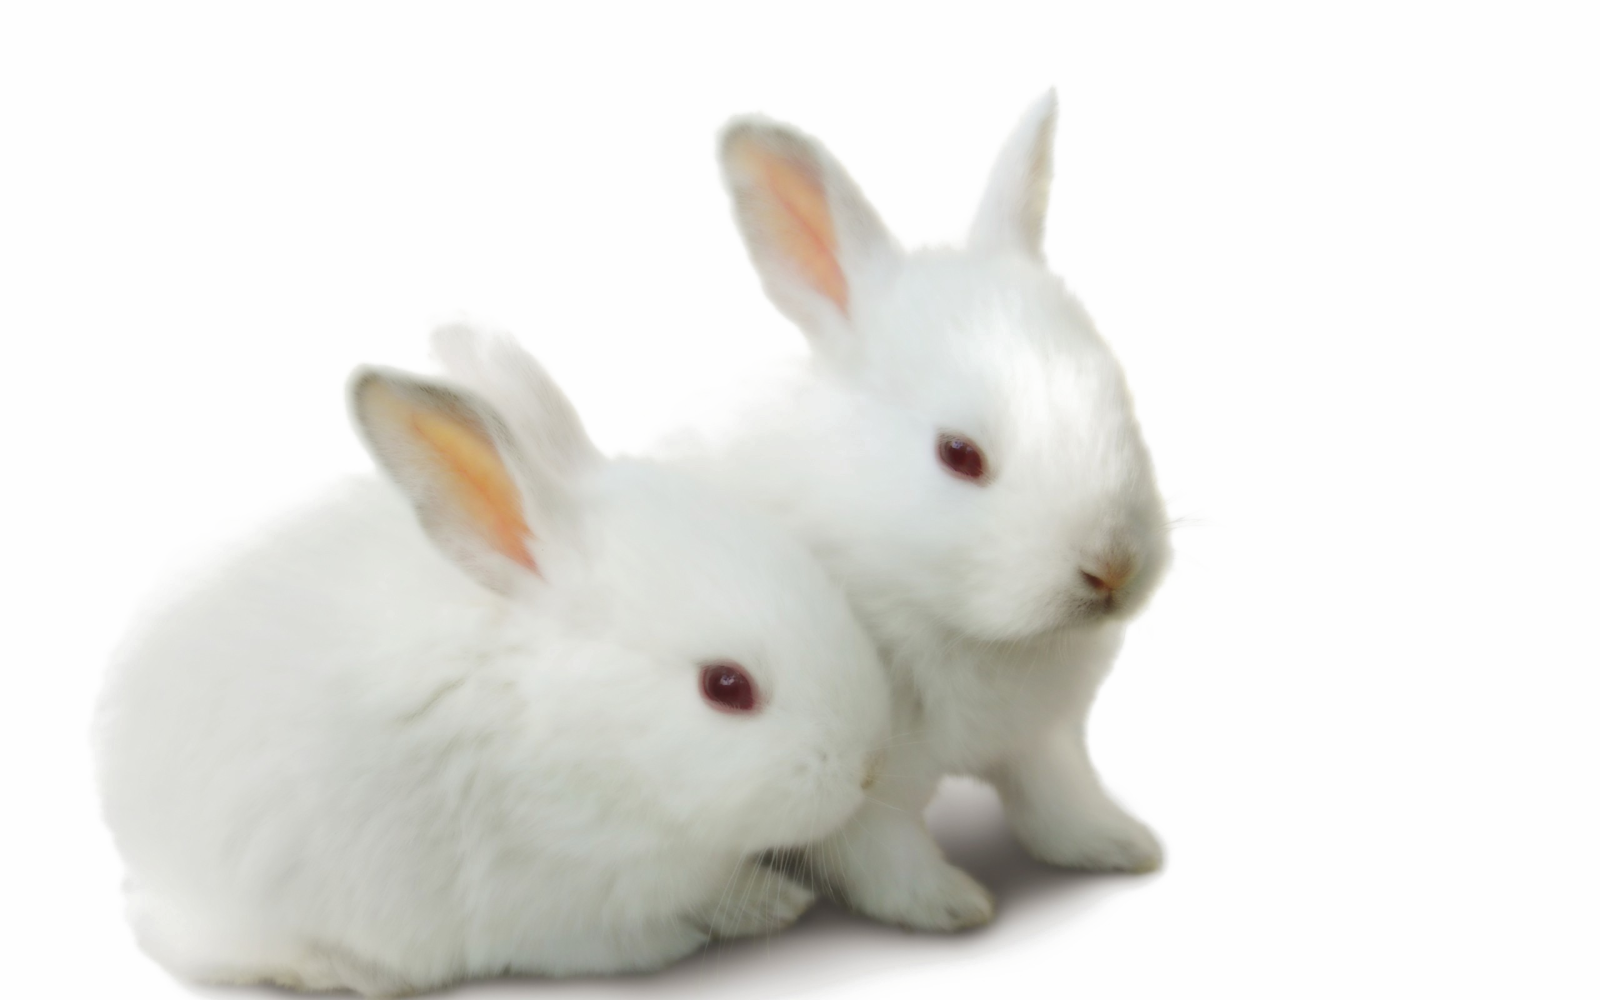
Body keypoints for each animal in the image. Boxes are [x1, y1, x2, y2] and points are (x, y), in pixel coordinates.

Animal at [634, 91, 1169, 931]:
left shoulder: (1044, 739)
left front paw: (1123, 847)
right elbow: (885, 856)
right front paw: (953, 907)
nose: (1112, 567)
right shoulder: (862, 788)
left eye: (1118, 400)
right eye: (959, 454)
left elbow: (1059, 804)